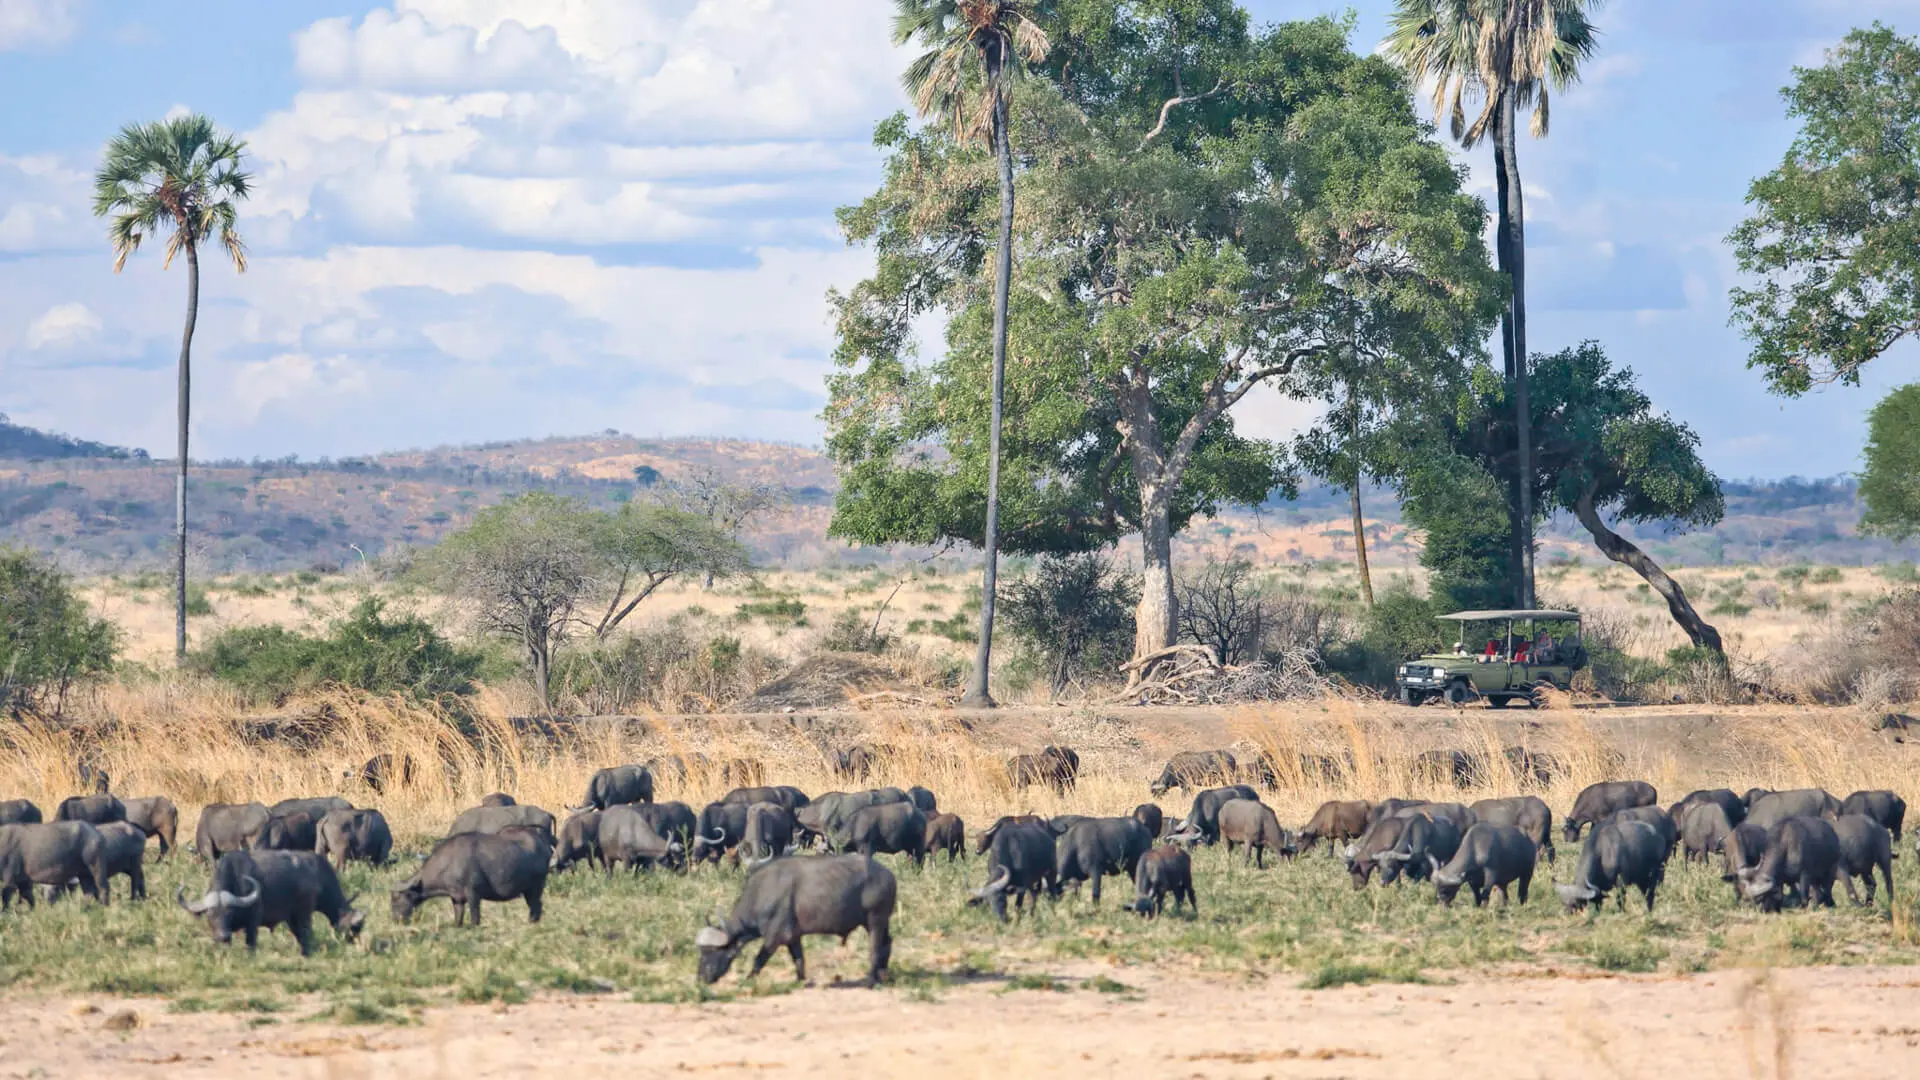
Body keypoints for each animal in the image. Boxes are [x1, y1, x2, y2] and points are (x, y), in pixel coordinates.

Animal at [695, 854, 896, 986]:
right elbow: (799, 959)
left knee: (875, 947)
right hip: (881, 922)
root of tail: (888, 875)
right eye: (701, 952)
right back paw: (883, 974)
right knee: (887, 942)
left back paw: (870, 979)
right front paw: (800, 980)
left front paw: (748, 979)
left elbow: (759, 959)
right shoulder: (793, 936)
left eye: (713, 952)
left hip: (875, 920)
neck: (762, 892)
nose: (701, 978)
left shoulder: (776, 936)